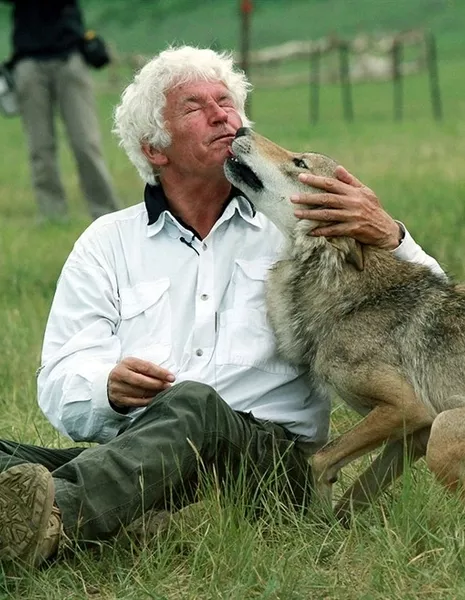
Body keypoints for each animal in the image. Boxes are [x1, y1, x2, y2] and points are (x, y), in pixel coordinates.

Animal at [223, 127, 464, 520]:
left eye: (300, 163)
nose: (242, 129)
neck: (347, 298)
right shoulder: (413, 434)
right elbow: (356, 493)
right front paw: (331, 528)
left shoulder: (406, 407)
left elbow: (321, 460)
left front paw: (319, 517)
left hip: (443, 435)